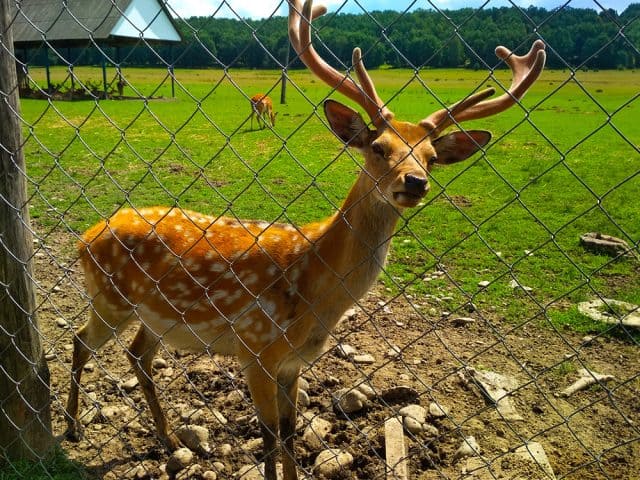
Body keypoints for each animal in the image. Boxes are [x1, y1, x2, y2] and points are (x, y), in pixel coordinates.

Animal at [63, 0, 544, 480]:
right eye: (379, 148)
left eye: (430, 158)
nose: (415, 182)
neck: (316, 290)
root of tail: (86, 235)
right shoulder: (255, 349)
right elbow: (268, 437)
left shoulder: (293, 363)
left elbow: (291, 431)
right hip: (109, 298)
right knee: (81, 341)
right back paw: (72, 429)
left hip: (152, 316)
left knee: (137, 356)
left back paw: (165, 439)